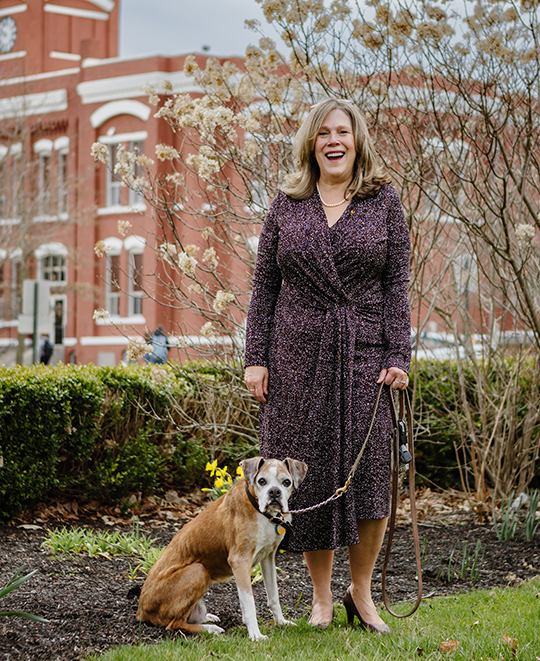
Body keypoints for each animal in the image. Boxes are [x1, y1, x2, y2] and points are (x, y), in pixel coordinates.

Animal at [137, 456, 308, 636]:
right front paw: (255, 634)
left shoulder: (268, 557)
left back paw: (208, 618)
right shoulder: (240, 561)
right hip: (198, 570)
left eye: (286, 482)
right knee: (174, 624)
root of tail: (141, 611)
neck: (258, 508)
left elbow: (273, 596)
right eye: (262, 481)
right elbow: (250, 605)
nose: (274, 492)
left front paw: (281, 622)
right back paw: (210, 629)